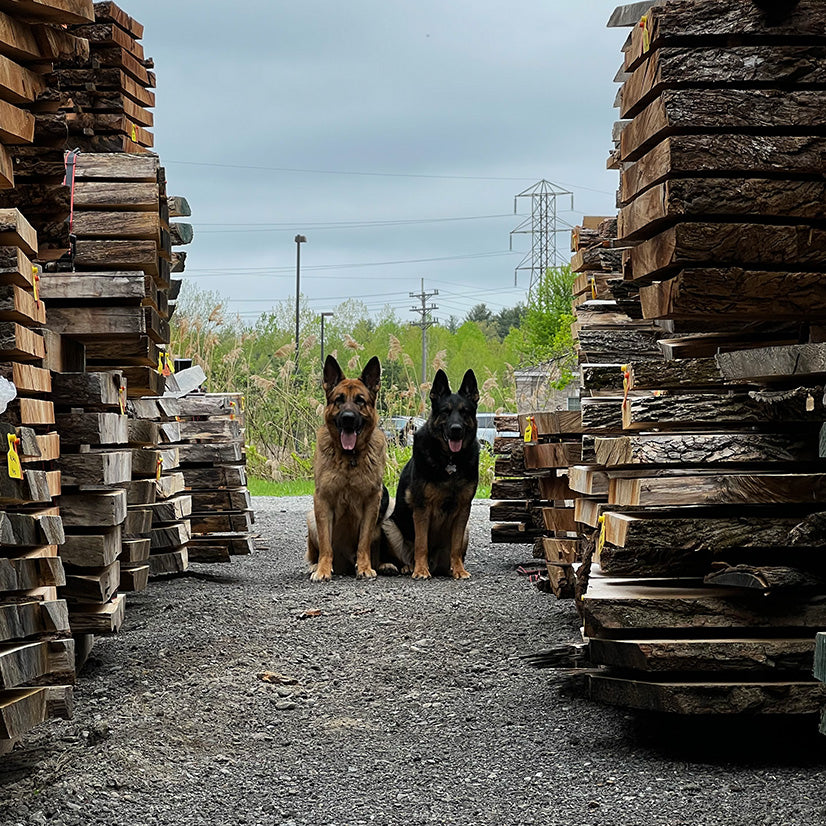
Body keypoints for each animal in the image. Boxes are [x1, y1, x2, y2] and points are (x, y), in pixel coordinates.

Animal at [308, 354, 388, 580]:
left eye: (360, 400)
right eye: (339, 400)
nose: (348, 418)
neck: (349, 458)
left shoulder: (372, 502)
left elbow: (364, 542)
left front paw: (365, 568)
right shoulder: (322, 501)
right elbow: (326, 545)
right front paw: (323, 570)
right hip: (311, 519)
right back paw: (315, 566)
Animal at [382, 370, 476, 576]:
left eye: (464, 412)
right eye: (445, 412)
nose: (456, 430)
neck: (450, 460)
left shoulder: (463, 509)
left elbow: (456, 547)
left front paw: (459, 570)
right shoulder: (422, 508)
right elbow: (421, 543)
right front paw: (421, 570)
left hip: (466, 531)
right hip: (389, 525)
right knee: (402, 556)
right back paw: (406, 566)